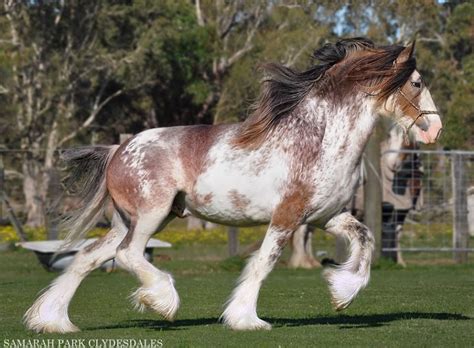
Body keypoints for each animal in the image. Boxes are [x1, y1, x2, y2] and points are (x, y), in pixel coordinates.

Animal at [24, 36, 442, 334]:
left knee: (87, 257)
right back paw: (162, 302)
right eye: (417, 82)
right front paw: (246, 319)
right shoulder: (287, 216)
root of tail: (118, 149)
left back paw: (54, 322)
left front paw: (341, 294)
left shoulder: (328, 216)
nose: (434, 129)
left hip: (131, 221)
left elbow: (366, 240)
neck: (319, 137)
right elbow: (264, 263)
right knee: (128, 255)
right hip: (150, 216)